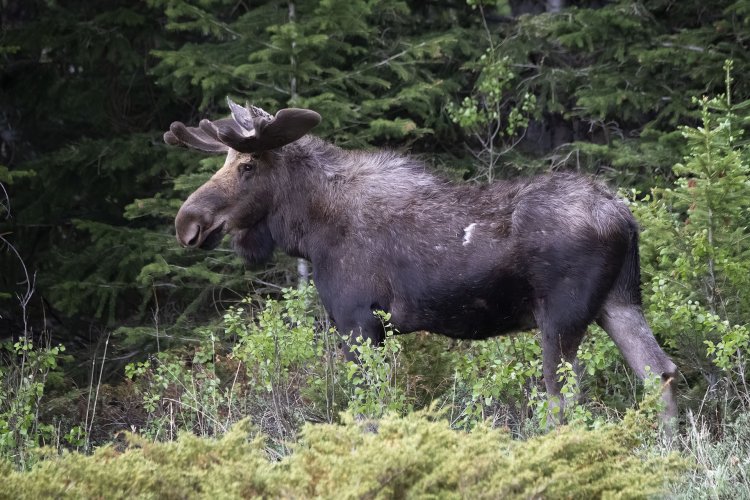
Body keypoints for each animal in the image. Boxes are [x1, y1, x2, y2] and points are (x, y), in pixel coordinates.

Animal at [166, 99, 680, 420]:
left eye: (247, 165)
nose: (187, 222)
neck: (309, 232)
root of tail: (623, 215)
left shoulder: (358, 318)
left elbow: (369, 409)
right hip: (619, 301)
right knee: (659, 372)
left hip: (561, 317)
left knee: (564, 397)